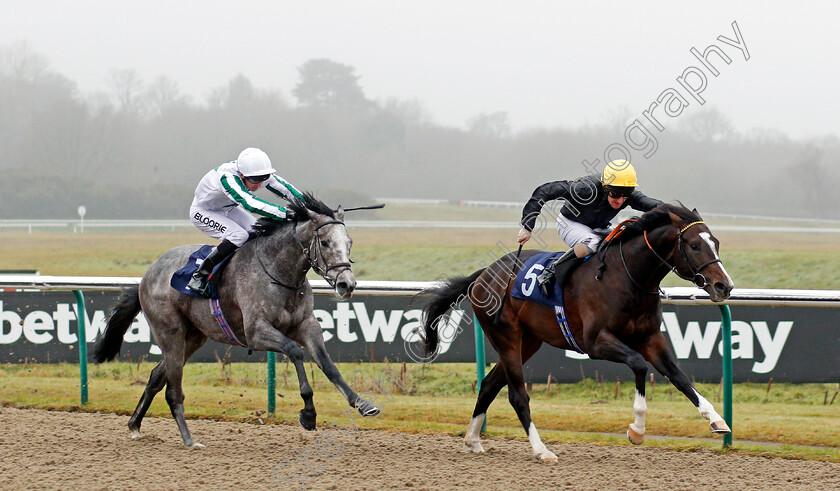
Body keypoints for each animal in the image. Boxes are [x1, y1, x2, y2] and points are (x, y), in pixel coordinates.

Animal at [93, 194, 378, 448]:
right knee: (173, 391)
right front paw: (308, 415)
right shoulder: (256, 332)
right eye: (326, 242)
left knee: (155, 377)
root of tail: (147, 275)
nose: (346, 284)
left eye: (349, 242)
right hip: (169, 333)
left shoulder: (307, 325)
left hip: (193, 338)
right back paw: (189, 440)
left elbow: (328, 365)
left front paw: (362, 403)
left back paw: (135, 425)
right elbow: (295, 351)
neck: (279, 272)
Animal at [424, 204, 732, 462]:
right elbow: (639, 365)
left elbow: (680, 377)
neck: (626, 277)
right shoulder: (595, 343)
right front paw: (637, 429)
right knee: (517, 396)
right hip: (507, 337)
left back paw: (473, 440)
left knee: (489, 384)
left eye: (716, 242)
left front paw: (717, 419)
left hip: (529, 342)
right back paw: (542, 450)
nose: (724, 286)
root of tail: (483, 274)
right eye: (694, 245)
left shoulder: (650, 338)